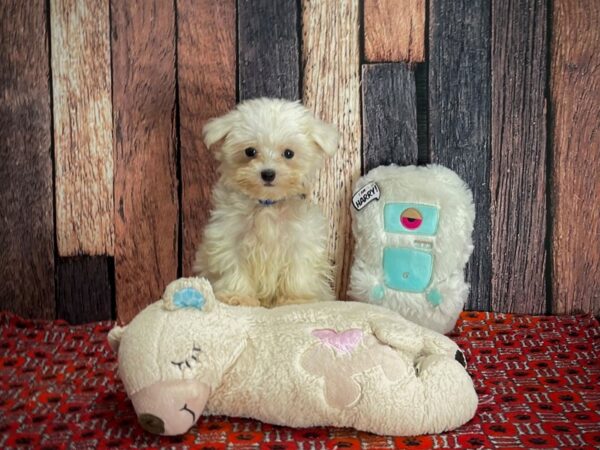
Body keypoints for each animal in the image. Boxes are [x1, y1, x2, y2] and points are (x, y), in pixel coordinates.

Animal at [195, 98, 340, 308]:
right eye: (250, 151)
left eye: (289, 153)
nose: (268, 173)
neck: (267, 204)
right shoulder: (229, 238)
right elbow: (234, 267)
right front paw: (238, 297)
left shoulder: (301, 241)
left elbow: (298, 272)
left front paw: (296, 299)